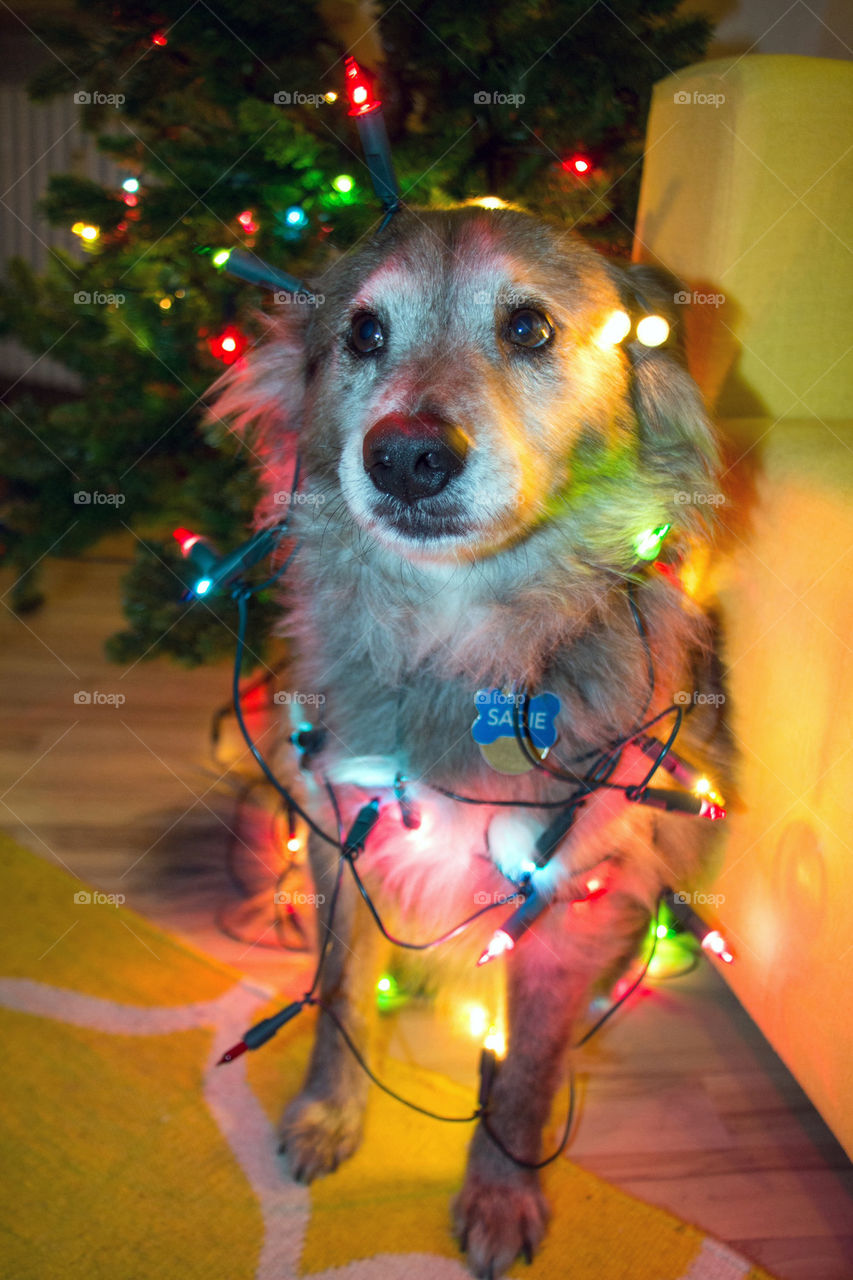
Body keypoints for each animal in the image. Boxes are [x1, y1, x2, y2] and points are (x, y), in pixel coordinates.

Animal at [211, 204, 722, 1274]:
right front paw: (330, 1114)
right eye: (363, 332)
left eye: (528, 327)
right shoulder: (345, 836)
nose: (405, 456)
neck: (456, 635)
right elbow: (341, 997)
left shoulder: (565, 892)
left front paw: (498, 1191)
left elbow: (523, 1070)